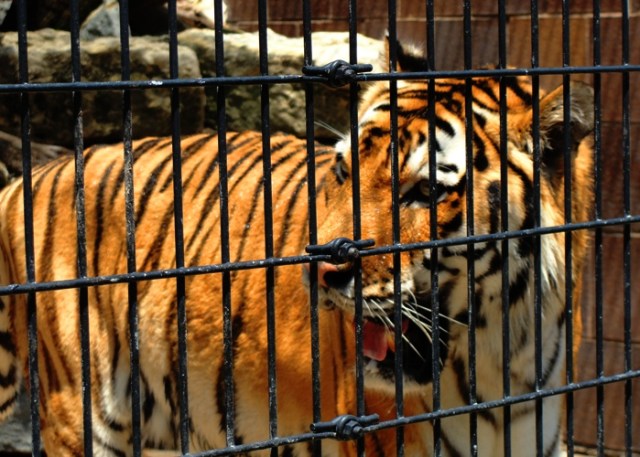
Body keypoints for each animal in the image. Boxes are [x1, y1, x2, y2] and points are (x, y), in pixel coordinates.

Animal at [0, 37, 593, 457]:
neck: (500, 357)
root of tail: (33, 173)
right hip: (84, 412)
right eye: (344, 171)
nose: (323, 272)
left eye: (425, 192)